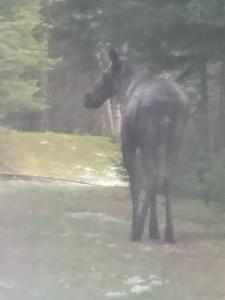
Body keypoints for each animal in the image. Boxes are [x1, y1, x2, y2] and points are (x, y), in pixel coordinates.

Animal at [84, 47, 188, 244]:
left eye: (105, 73)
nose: (87, 96)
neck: (126, 88)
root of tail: (169, 104)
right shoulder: (157, 145)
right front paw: (154, 229)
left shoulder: (129, 143)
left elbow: (136, 182)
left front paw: (139, 226)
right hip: (174, 140)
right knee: (166, 177)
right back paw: (169, 233)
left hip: (148, 139)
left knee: (153, 177)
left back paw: (138, 230)